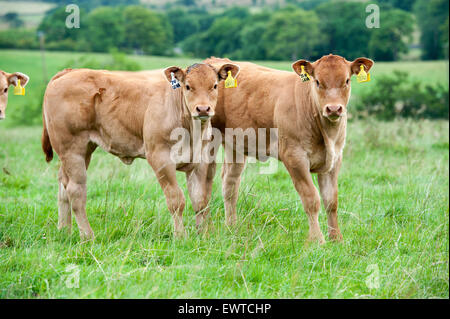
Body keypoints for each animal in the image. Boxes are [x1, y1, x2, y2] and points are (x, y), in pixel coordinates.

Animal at [41, 64, 239, 240]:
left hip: (84, 149)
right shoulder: (160, 158)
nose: (203, 109)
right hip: (72, 148)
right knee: (75, 190)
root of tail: (69, 71)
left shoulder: (200, 161)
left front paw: (203, 235)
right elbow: (176, 199)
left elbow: (200, 201)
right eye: (188, 86)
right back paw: (87, 235)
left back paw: (64, 230)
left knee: (63, 185)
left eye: (214, 85)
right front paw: (180, 236)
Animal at [206, 55, 374, 244]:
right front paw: (317, 240)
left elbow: (331, 201)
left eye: (346, 80)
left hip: (236, 145)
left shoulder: (335, 158)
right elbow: (311, 199)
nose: (333, 108)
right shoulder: (294, 157)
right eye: (317, 81)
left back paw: (232, 227)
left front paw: (336, 239)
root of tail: (214, 60)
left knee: (230, 184)